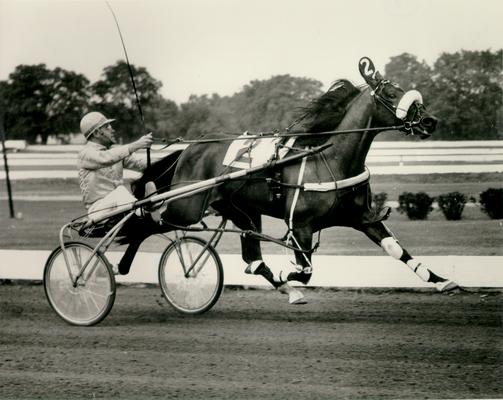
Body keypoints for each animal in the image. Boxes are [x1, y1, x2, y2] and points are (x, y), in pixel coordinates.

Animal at [122, 57, 456, 304]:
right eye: (390, 94)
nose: (429, 121)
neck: (330, 159)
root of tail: (190, 149)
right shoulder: (301, 225)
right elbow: (305, 269)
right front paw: (289, 276)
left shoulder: (360, 216)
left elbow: (397, 250)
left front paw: (443, 282)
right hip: (186, 208)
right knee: (145, 222)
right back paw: (121, 264)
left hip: (241, 211)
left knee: (253, 258)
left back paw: (288, 290)